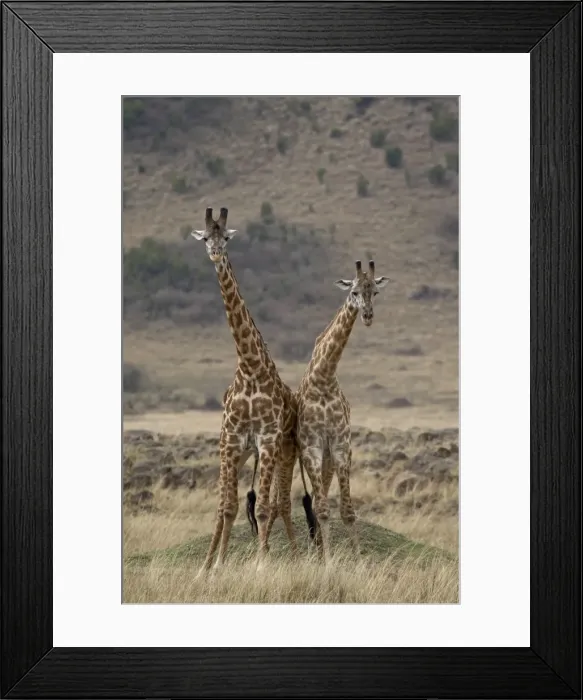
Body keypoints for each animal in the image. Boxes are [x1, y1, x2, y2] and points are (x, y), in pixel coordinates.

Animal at [191, 207, 298, 573]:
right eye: (205, 237)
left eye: (226, 237)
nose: (215, 253)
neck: (250, 367)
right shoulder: (233, 440)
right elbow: (227, 508)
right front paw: (213, 568)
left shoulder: (266, 440)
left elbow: (263, 508)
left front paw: (261, 565)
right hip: (237, 453)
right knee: (225, 508)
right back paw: (208, 565)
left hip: (278, 452)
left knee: (278, 503)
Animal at [295, 259, 390, 564]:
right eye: (354, 292)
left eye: (375, 292)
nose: (368, 316)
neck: (324, 377)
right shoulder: (312, 446)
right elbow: (323, 509)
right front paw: (327, 564)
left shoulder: (340, 444)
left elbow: (348, 510)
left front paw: (358, 562)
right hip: (314, 457)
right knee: (317, 500)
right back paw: (318, 552)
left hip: (329, 459)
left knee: (322, 495)